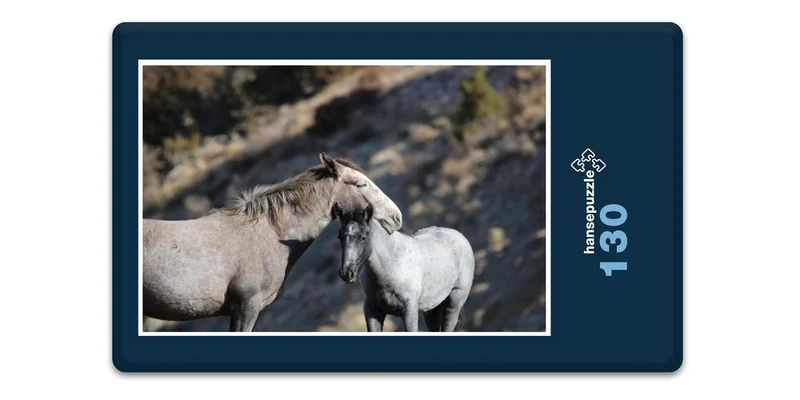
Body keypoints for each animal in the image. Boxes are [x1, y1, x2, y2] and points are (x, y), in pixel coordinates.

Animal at [333, 203, 475, 332]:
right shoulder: (372, 312)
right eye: (339, 236)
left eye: (363, 237)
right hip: (431, 309)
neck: (391, 266)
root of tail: (460, 237)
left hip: (453, 304)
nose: (347, 273)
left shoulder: (409, 312)